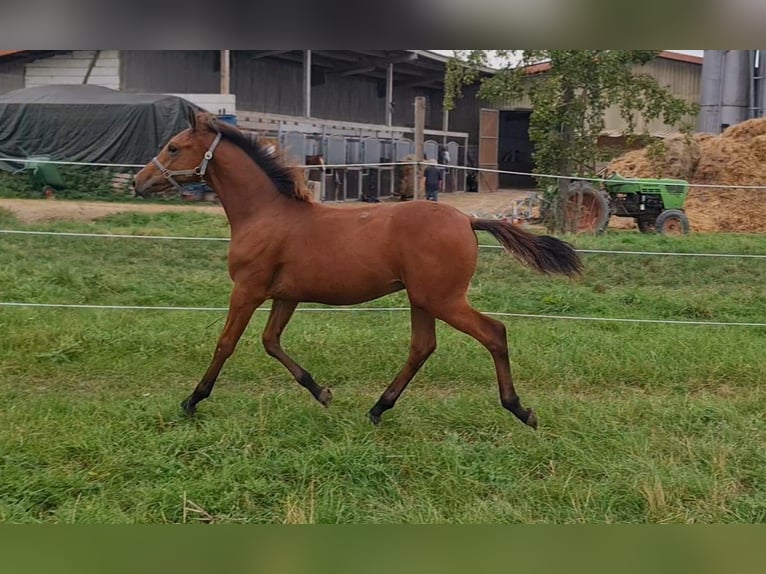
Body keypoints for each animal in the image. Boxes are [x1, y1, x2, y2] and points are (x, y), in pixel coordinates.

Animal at [135, 111, 584, 428]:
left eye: (173, 147)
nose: (139, 182)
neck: (265, 213)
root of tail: (467, 220)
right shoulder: (286, 295)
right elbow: (270, 341)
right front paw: (322, 392)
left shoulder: (248, 289)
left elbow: (226, 343)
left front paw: (192, 400)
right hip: (423, 299)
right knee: (423, 347)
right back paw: (378, 408)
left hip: (442, 298)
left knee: (494, 333)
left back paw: (520, 410)